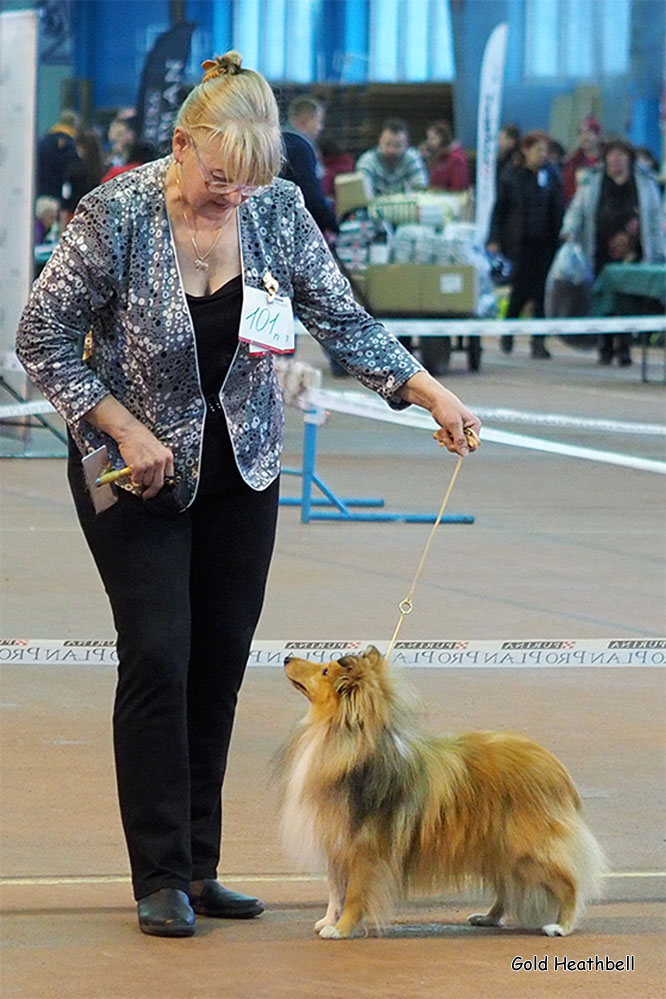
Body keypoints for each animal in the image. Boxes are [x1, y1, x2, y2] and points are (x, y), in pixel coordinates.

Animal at [278, 644, 604, 940]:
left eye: (324, 670)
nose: (287, 657)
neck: (341, 740)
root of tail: (556, 768)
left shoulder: (365, 848)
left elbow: (355, 894)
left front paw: (341, 929)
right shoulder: (335, 840)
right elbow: (336, 890)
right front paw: (328, 921)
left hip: (527, 849)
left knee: (570, 882)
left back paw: (561, 925)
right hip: (499, 848)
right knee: (508, 888)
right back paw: (488, 917)